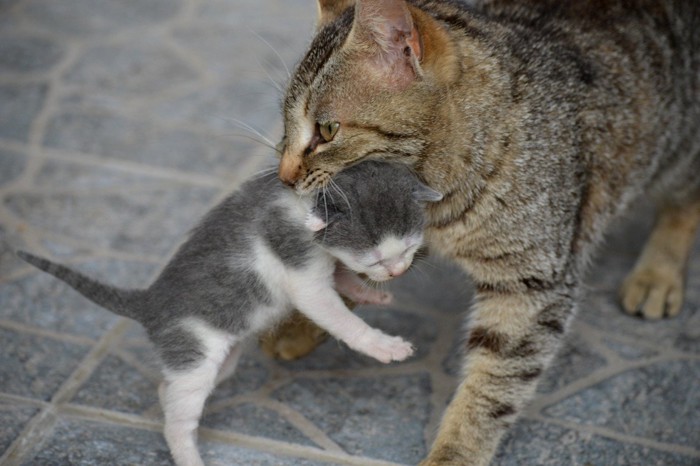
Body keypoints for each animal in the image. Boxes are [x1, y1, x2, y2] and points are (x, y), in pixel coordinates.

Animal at [19, 160, 440, 466]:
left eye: (409, 248)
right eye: (376, 258)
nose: (396, 271)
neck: (305, 201)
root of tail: (150, 302)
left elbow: (340, 276)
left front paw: (367, 294)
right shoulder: (301, 271)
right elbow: (338, 316)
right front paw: (384, 346)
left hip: (223, 357)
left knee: (169, 390)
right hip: (194, 356)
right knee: (179, 420)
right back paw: (189, 457)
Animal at [270, 0, 700, 464]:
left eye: (327, 130)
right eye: (284, 126)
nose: (284, 176)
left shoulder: (529, 285)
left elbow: (491, 387)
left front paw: (453, 452)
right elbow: (356, 267)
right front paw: (304, 325)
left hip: (677, 149)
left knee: (684, 199)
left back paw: (657, 273)